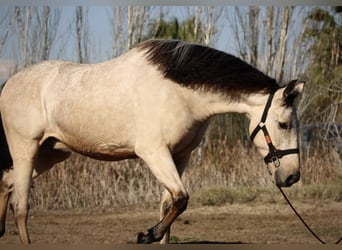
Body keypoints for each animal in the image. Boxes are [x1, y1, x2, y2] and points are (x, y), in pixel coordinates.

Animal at [0, 39, 304, 244]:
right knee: (21, 206)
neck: (178, 92)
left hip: (51, 153)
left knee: (7, 183)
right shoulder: (153, 152)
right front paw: (145, 235)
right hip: (26, 150)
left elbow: (168, 204)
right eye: (283, 124)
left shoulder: (180, 155)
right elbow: (181, 198)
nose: (292, 176)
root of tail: (9, 84)